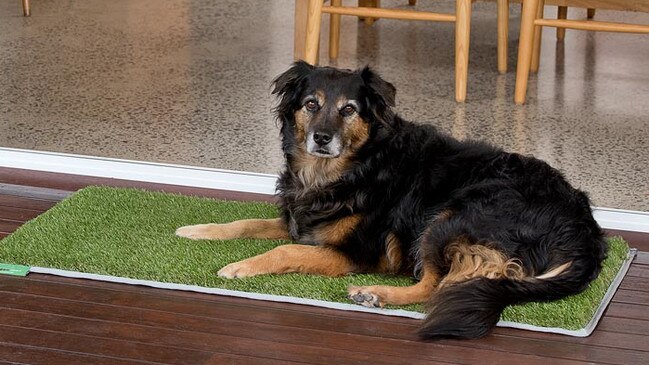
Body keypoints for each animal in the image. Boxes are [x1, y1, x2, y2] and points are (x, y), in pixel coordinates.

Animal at [175, 61, 604, 338]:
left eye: (349, 110)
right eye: (311, 104)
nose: (321, 138)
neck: (352, 169)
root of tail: (585, 232)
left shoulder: (353, 253)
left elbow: (284, 251)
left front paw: (239, 266)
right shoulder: (300, 220)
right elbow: (246, 222)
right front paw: (197, 229)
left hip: (451, 217)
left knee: (434, 286)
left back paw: (376, 293)